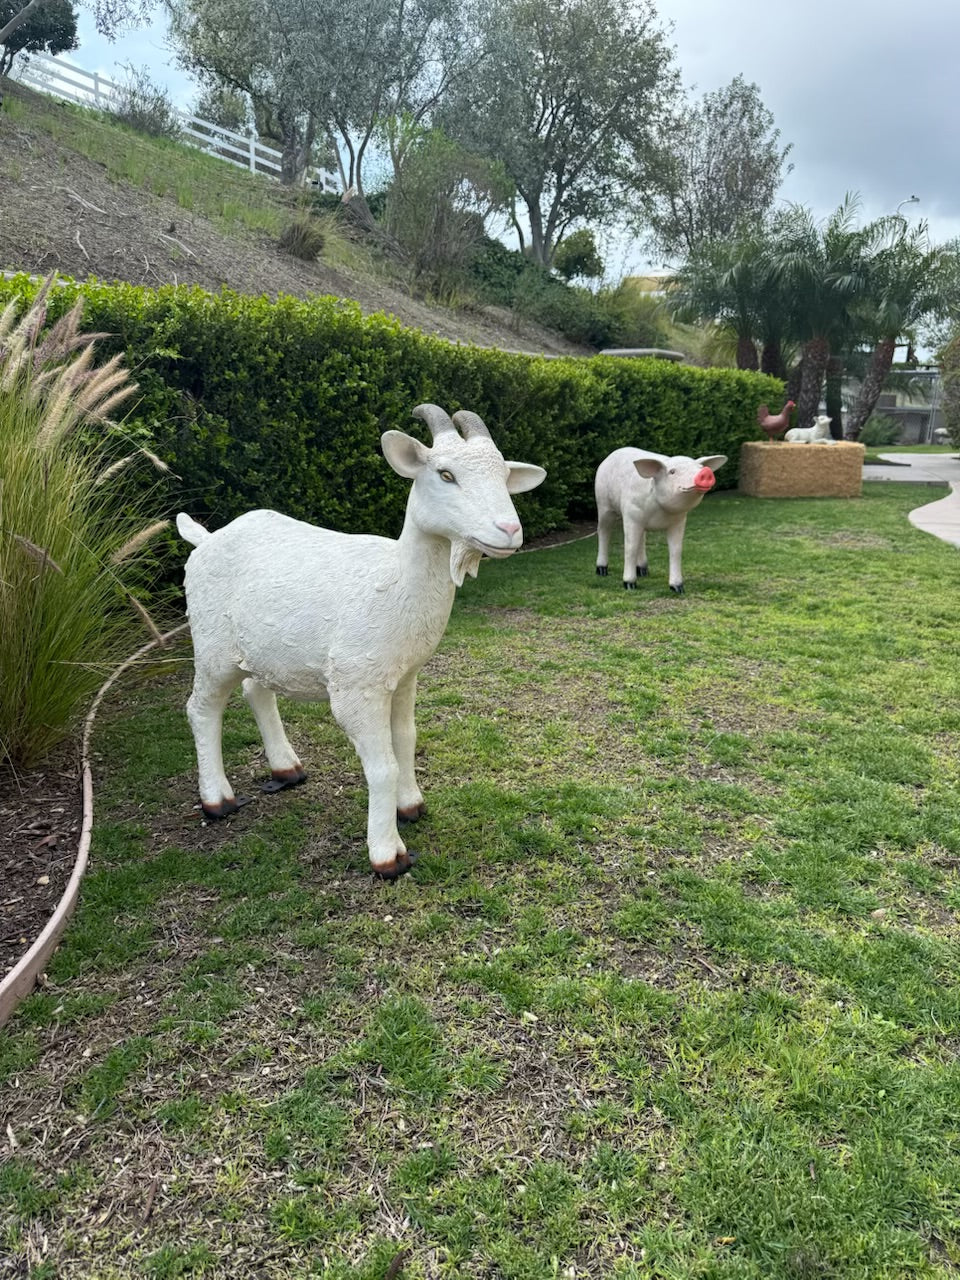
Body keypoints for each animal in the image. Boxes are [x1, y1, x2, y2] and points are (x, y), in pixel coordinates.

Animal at [177, 404, 546, 879]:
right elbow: (382, 765)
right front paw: (389, 854)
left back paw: (287, 768)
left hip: (262, 649)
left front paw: (411, 806)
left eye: (503, 474)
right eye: (445, 474)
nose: (509, 530)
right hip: (212, 646)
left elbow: (405, 739)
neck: (394, 582)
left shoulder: (404, 676)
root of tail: (206, 537)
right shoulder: (357, 685)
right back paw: (217, 800)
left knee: (256, 691)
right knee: (201, 709)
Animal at [595, 448, 727, 593]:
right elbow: (630, 548)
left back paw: (643, 571)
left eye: (700, 468)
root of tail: (610, 456)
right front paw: (630, 585)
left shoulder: (678, 521)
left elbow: (676, 551)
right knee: (604, 532)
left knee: (642, 539)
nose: (706, 472)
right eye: (672, 471)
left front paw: (678, 588)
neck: (660, 512)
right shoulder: (631, 516)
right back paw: (602, 571)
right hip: (603, 504)